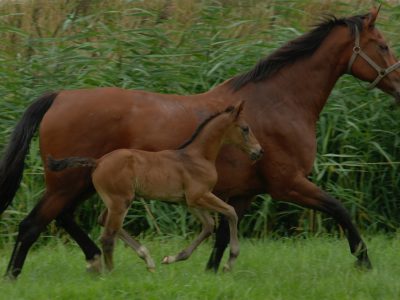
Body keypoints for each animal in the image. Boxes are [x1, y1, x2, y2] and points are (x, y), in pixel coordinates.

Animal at [47, 102, 262, 272]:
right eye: (245, 128)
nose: (259, 151)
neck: (197, 157)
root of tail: (98, 162)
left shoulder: (190, 202)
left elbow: (209, 225)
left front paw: (172, 258)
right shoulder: (200, 195)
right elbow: (231, 212)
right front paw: (230, 261)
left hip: (116, 200)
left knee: (105, 222)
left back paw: (147, 259)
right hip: (120, 201)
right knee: (108, 236)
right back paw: (111, 273)